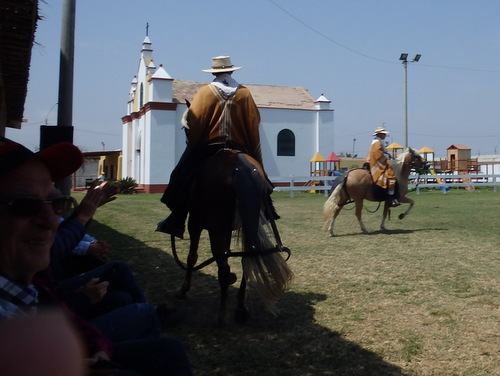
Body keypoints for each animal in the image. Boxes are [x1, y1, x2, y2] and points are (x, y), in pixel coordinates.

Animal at [175, 148, 292, 324]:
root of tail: (240, 164)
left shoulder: (195, 224)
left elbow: (191, 257)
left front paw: (184, 290)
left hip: (214, 228)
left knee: (224, 268)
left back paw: (222, 316)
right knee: (247, 261)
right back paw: (240, 308)